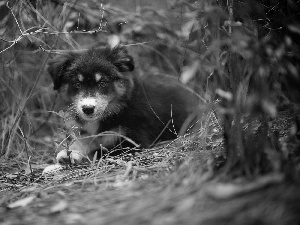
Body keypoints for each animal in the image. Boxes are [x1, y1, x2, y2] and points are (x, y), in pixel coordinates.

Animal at [48, 45, 196, 163]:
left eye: (102, 83)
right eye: (77, 84)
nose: (88, 109)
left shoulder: (132, 142)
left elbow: (101, 151)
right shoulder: (85, 132)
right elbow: (82, 140)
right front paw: (69, 152)